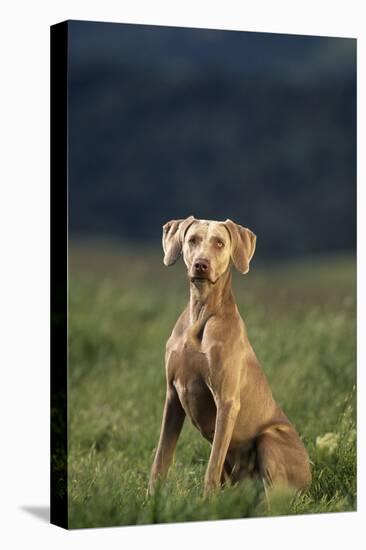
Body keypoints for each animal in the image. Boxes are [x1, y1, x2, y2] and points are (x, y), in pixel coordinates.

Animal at [149, 218, 312, 498]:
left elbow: (211, 466)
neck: (201, 313)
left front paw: (206, 502)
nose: (201, 264)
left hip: (270, 439)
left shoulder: (226, 402)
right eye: (192, 240)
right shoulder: (172, 397)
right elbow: (161, 457)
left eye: (219, 243)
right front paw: (150, 499)